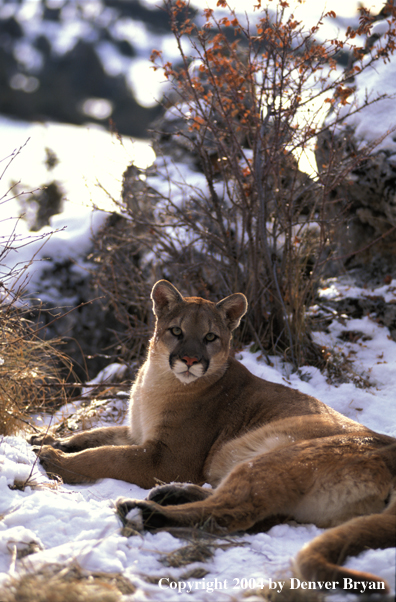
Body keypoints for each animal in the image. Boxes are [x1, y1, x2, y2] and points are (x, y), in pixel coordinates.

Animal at [31, 278, 396, 588]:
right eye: (176, 331)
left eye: (210, 337)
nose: (190, 360)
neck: (156, 381)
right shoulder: (138, 433)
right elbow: (98, 434)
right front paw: (50, 440)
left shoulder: (164, 457)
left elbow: (106, 457)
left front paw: (55, 458)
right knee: (248, 511)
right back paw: (169, 494)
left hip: (280, 458)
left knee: (232, 512)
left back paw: (140, 510)